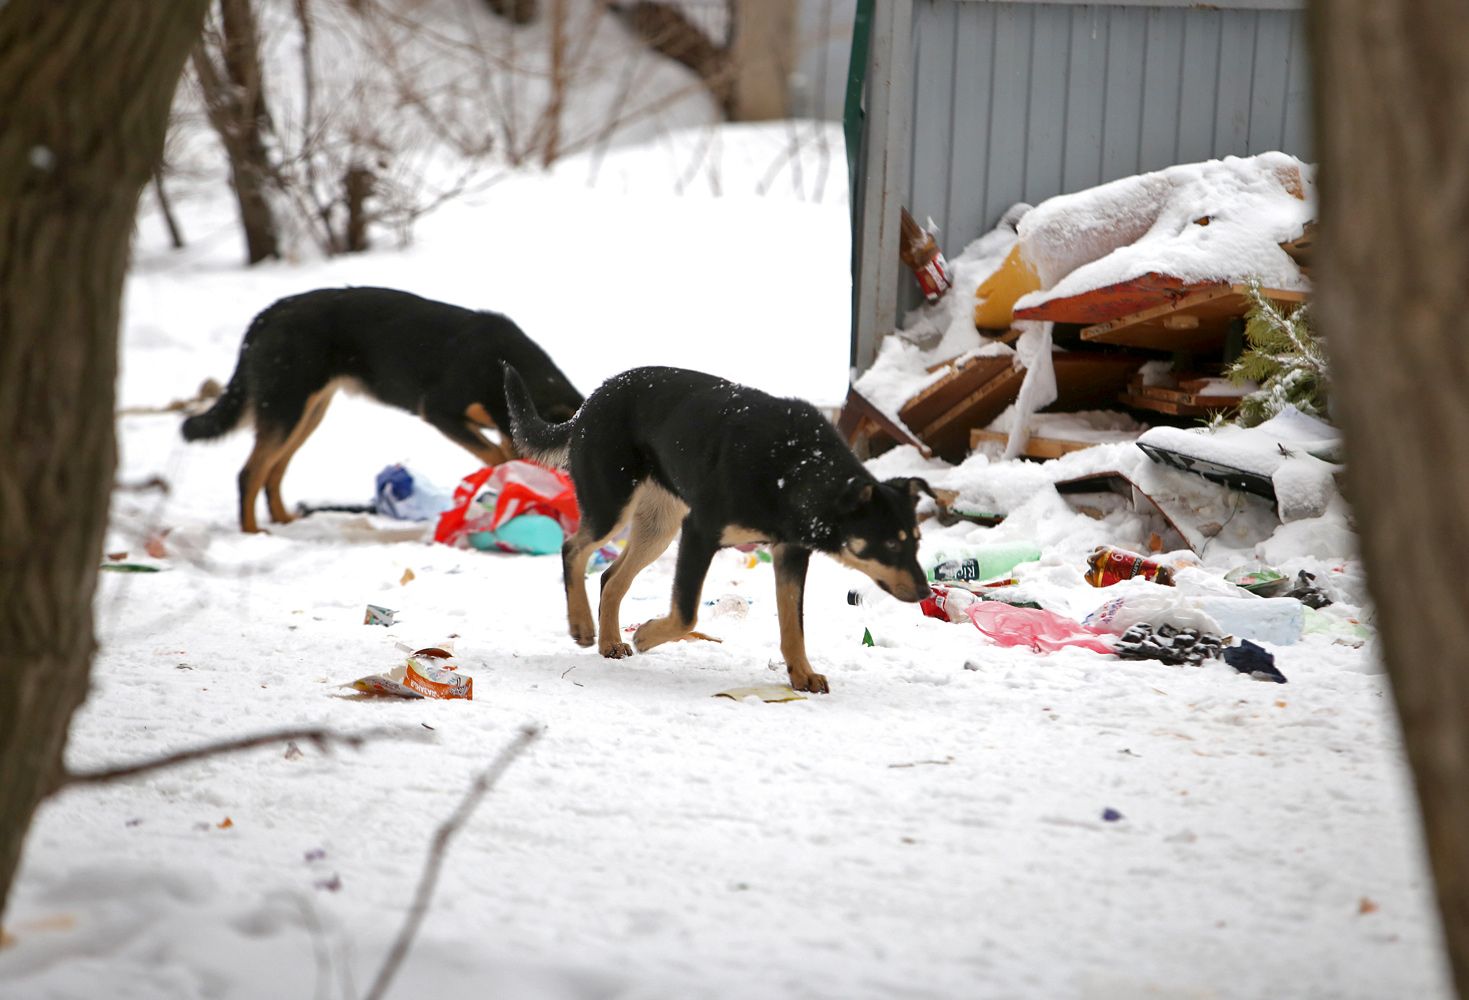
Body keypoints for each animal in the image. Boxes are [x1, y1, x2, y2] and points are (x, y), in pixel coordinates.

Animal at [177, 284, 578, 534]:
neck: (501, 365)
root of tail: (269, 313)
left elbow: (506, 450)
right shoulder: (440, 412)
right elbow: (496, 455)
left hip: (307, 411)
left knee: (273, 471)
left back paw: (284, 521)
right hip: (286, 405)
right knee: (250, 473)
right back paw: (252, 533)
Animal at [505, 364, 928, 693]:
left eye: (917, 542)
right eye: (890, 545)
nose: (925, 591)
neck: (795, 465)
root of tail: (588, 404)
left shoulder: (790, 552)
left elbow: (793, 625)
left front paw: (802, 675)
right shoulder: (700, 533)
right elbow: (686, 614)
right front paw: (646, 635)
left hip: (659, 526)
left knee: (610, 577)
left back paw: (610, 641)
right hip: (613, 505)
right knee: (573, 548)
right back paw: (582, 625)